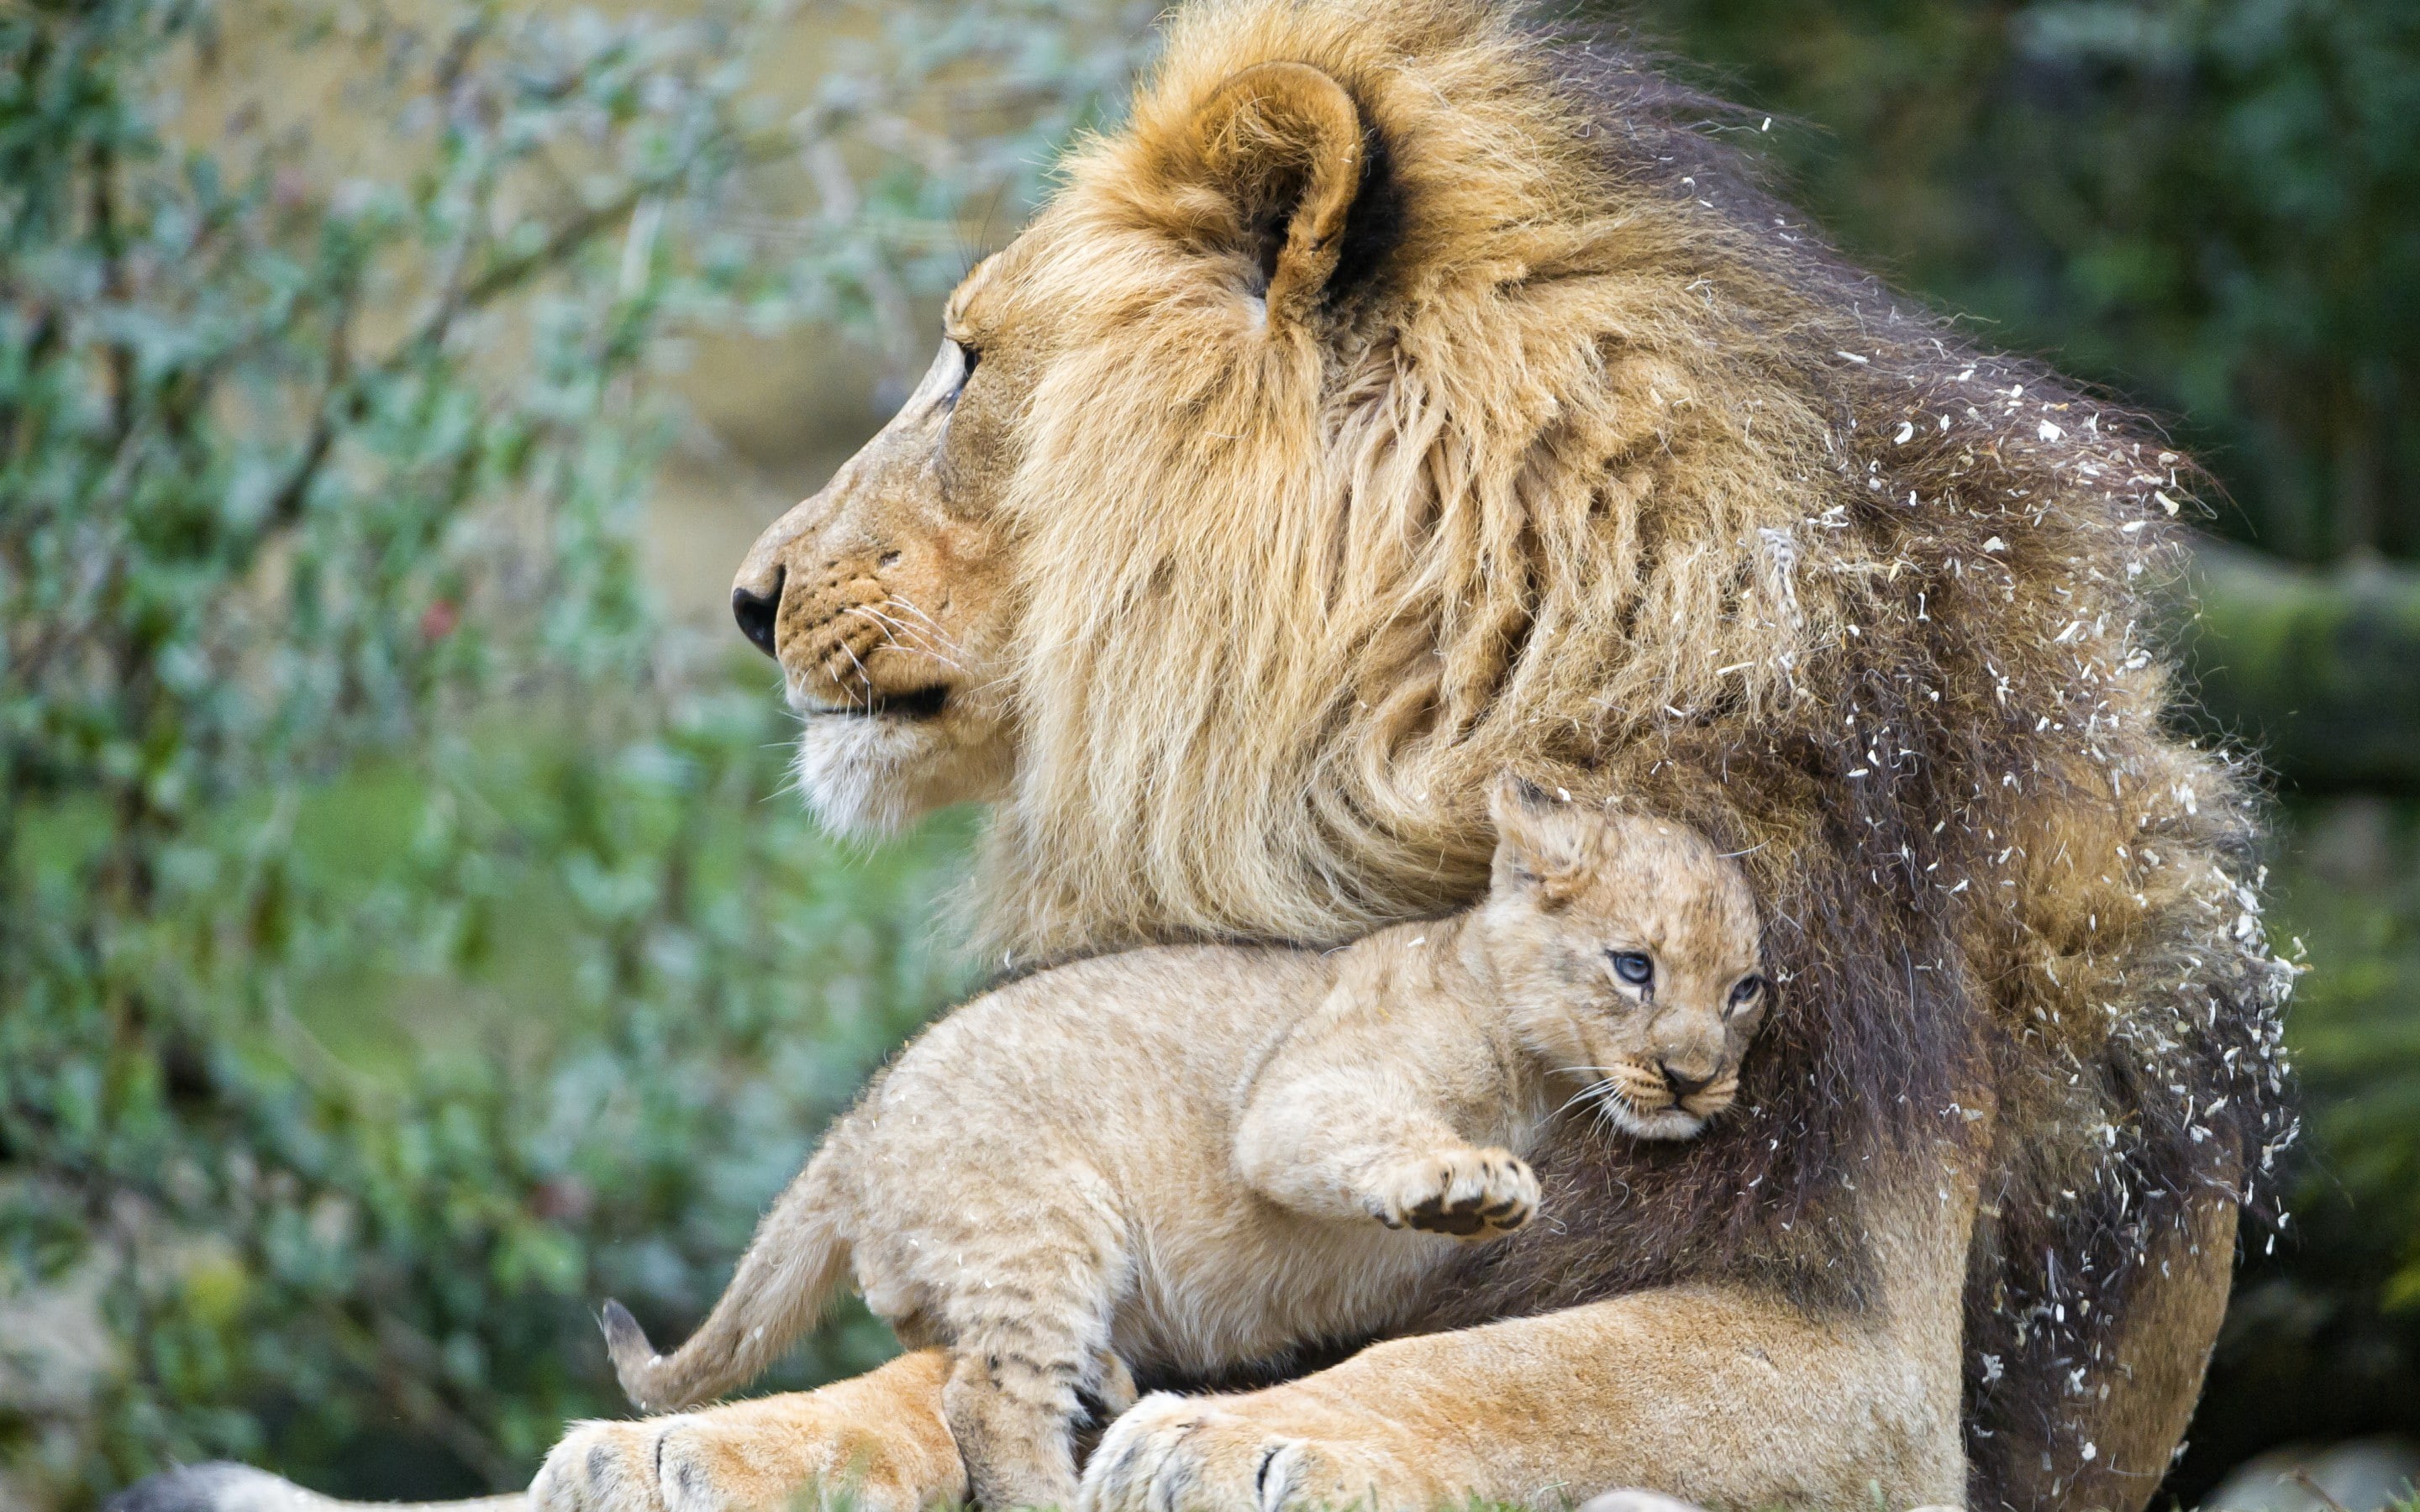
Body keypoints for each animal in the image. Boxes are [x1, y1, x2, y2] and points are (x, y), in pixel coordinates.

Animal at [119, 3, 2290, 1512]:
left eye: (971, 364)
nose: (745, 598)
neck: (1417, 759)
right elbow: (942, 1359)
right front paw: (699, 1441)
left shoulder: (1864, 1351)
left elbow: (1536, 1362)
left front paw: (1258, 1438)